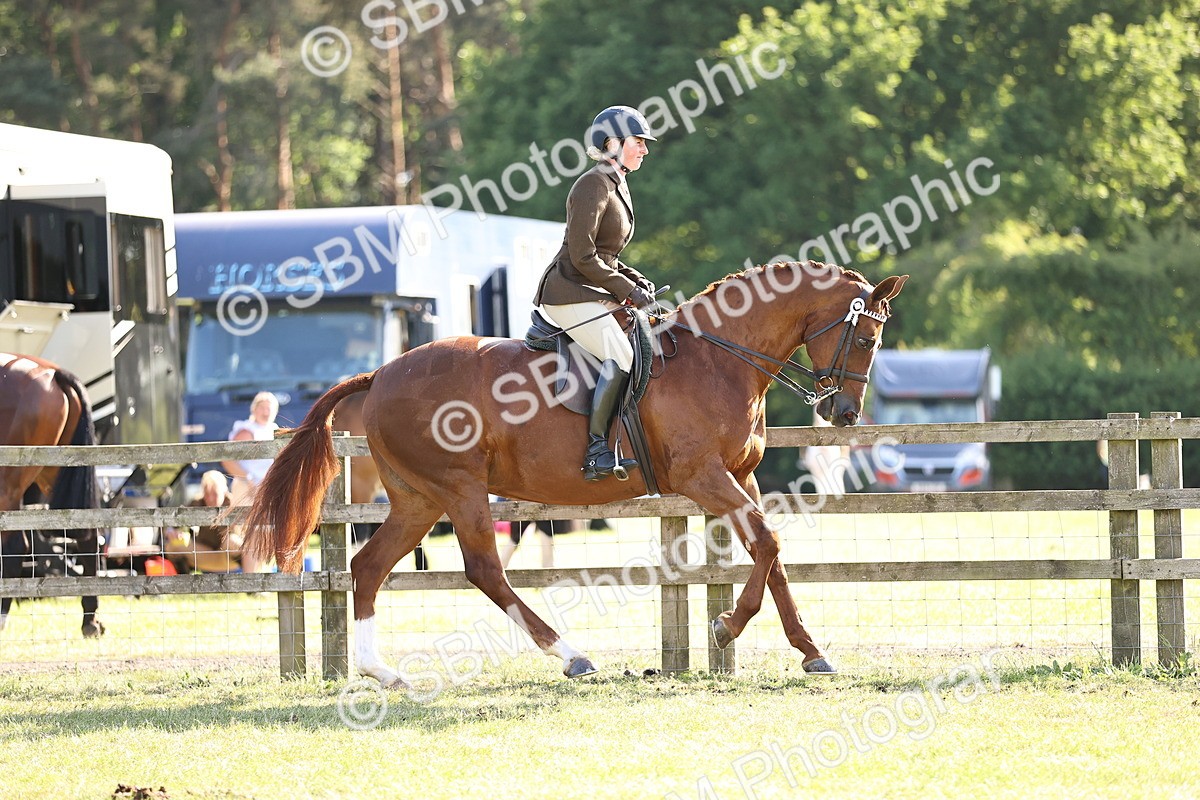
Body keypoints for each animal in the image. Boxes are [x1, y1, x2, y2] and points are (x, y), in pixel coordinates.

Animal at [0, 353, 104, 637]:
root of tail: (52, 373)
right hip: (54, 471)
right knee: (89, 535)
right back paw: (89, 620)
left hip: (9, 484)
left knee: (14, 549)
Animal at [241, 262, 907, 686]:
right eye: (867, 337)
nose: (845, 415)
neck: (719, 356)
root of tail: (380, 374)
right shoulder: (703, 477)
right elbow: (767, 543)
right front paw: (726, 628)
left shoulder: (741, 478)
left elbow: (772, 554)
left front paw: (811, 652)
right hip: (460, 489)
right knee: (483, 570)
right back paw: (572, 657)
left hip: (416, 499)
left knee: (368, 567)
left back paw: (381, 671)